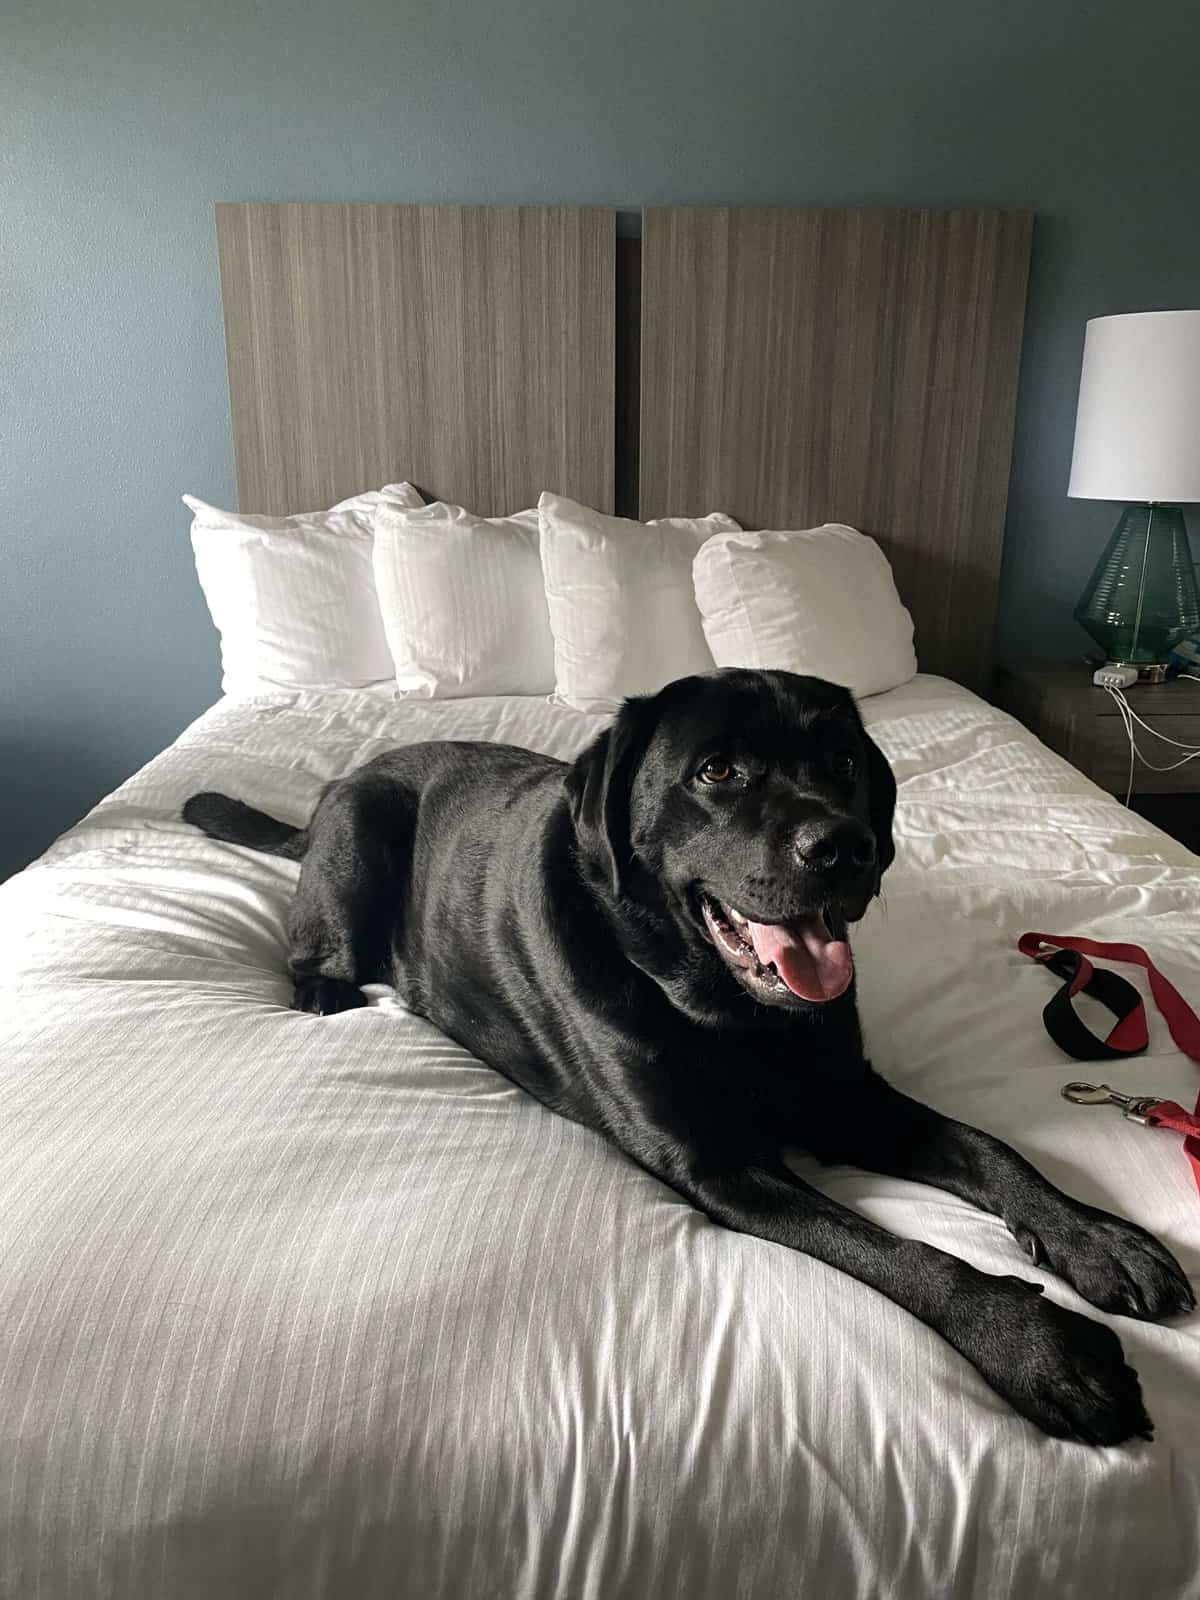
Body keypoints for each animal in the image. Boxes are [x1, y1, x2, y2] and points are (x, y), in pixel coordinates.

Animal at [185, 668, 1196, 1446]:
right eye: (716, 770)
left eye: (842, 762)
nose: (846, 845)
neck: (730, 1014)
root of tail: (344, 780)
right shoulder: (719, 1165)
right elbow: (904, 1253)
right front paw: (1041, 1349)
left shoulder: (848, 1097)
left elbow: (993, 1149)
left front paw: (1095, 1237)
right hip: (359, 836)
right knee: (314, 956)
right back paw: (339, 993)